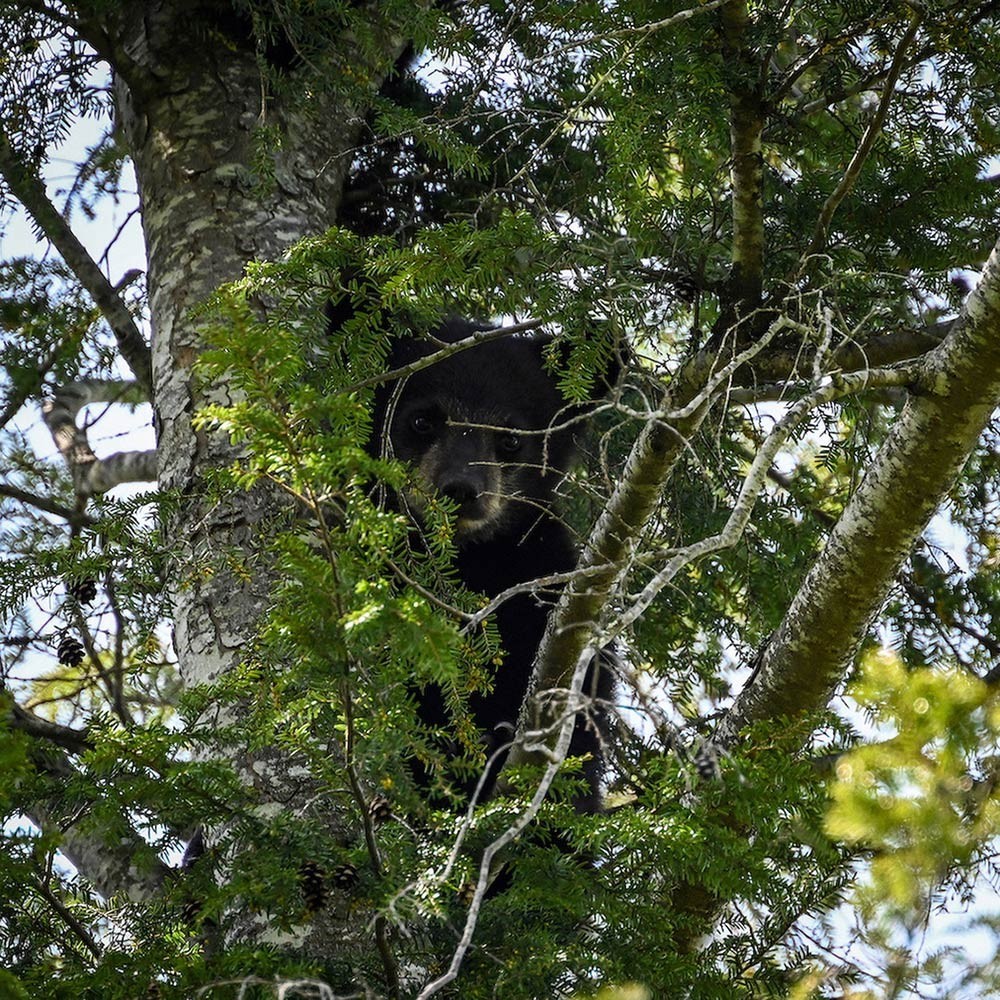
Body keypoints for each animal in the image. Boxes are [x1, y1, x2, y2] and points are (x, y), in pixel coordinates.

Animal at [369, 318, 617, 812]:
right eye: (423, 420)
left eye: (510, 439)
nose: (460, 489)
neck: (467, 560)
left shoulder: (541, 575)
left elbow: (587, 691)